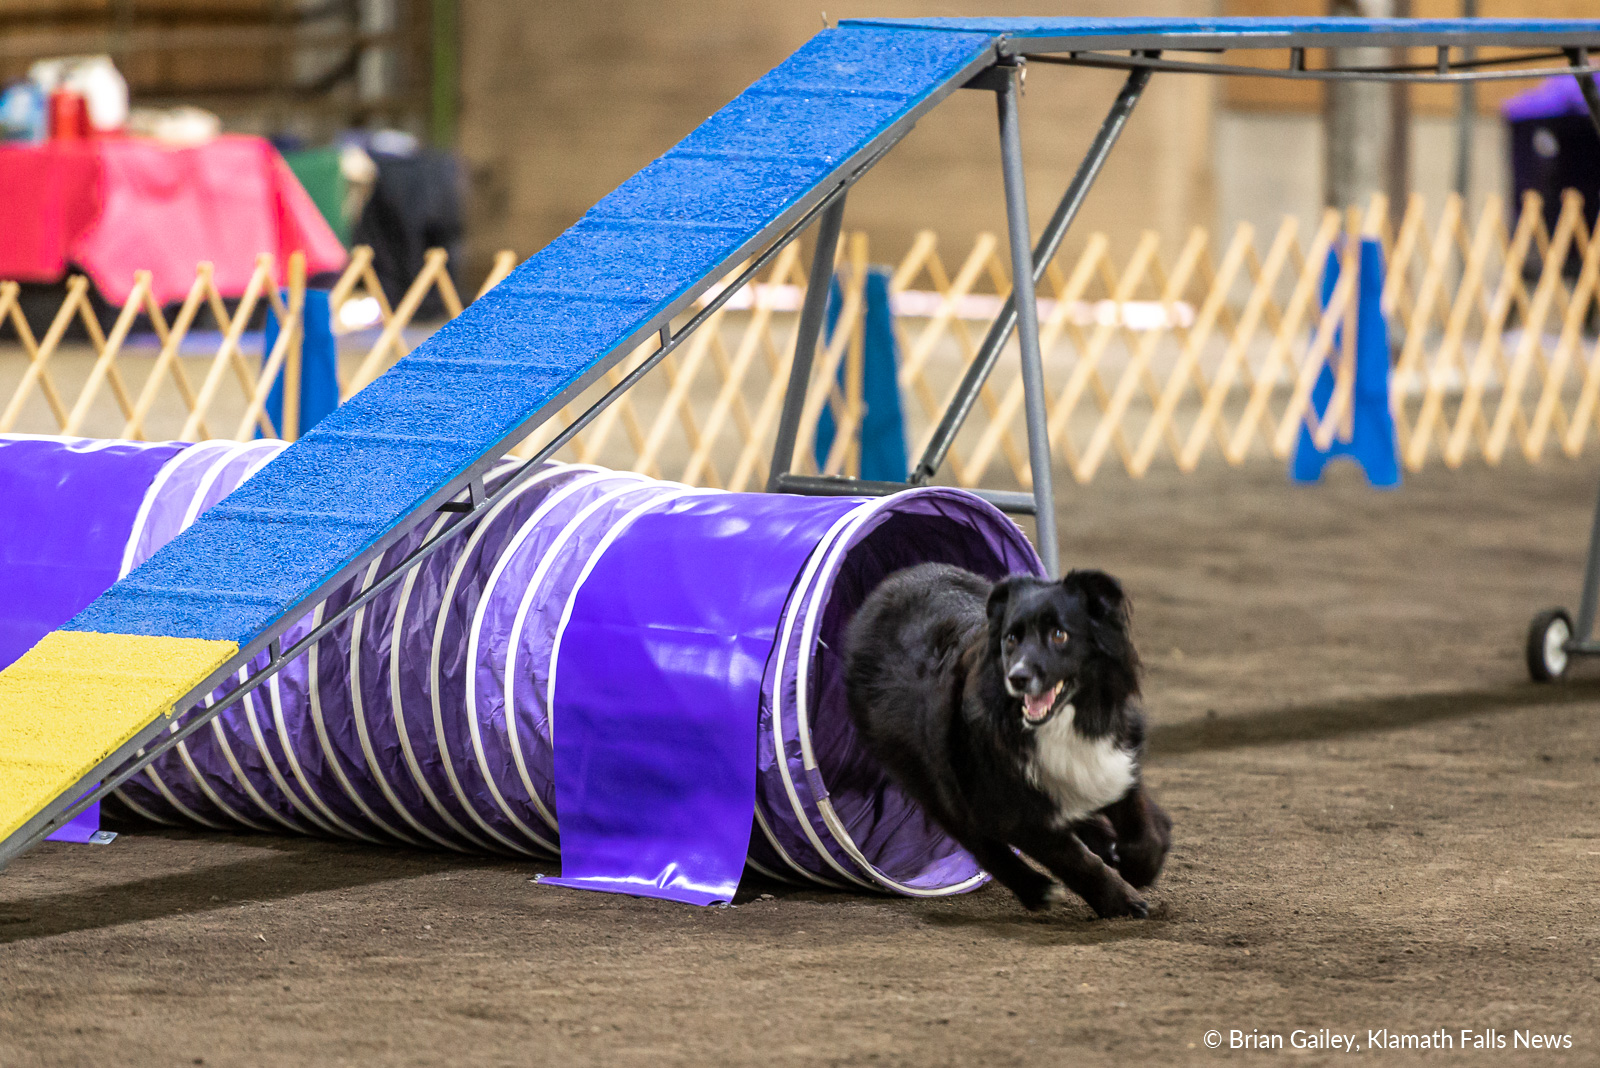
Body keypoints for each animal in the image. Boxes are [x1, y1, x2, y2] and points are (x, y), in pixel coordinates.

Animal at [844, 562, 1171, 920]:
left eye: (1059, 634)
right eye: (1012, 638)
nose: (1018, 677)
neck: (1064, 723)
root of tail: (888, 586)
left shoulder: (1115, 760)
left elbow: (1143, 825)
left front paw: (1137, 864)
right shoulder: (1011, 808)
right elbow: (1074, 860)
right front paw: (1121, 901)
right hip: (929, 778)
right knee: (976, 839)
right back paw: (1037, 890)